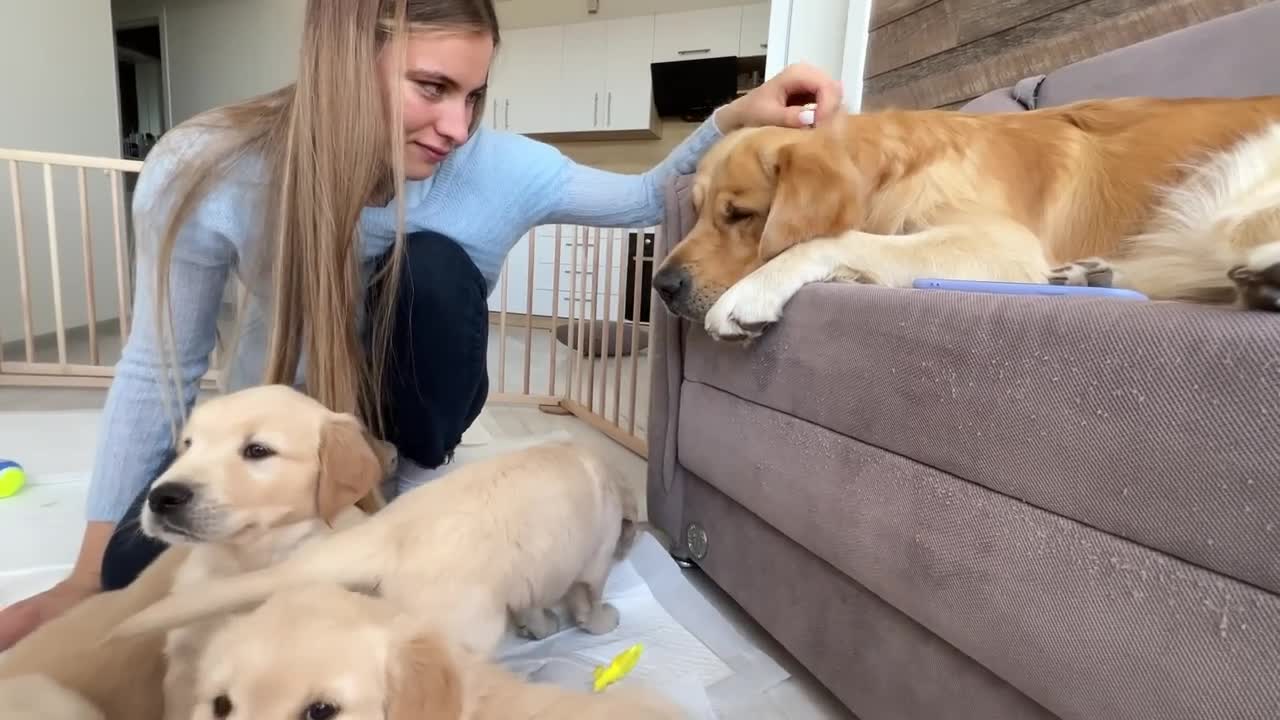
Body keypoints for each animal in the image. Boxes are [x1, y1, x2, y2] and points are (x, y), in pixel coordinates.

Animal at [115, 440, 645, 666]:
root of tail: (386, 532)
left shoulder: (531, 575)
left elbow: (535, 604)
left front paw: (540, 626)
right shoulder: (592, 562)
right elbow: (588, 598)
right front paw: (603, 620)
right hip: (465, 628)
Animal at [650, 92, 1280, 338]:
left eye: (740, 214)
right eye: (697, 211)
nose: (661, 285)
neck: (893, 172)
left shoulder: (1005, 244)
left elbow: (835, 239)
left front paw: (753, 290)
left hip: (1229, 194)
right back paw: (1088, 275)